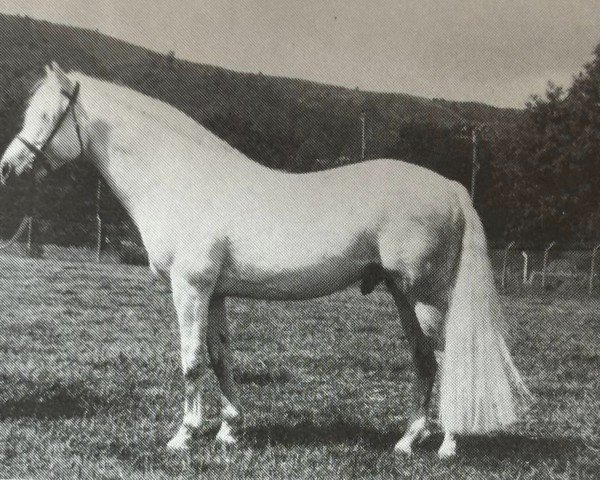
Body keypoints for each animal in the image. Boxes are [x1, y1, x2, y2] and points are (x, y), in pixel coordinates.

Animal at [0, 63, 528, 458]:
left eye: (46, 115)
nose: (8, 167)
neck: (179, 179)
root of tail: (452, 188)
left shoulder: (189, 287)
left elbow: (191, 360)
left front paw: (183, 436)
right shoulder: (214, 293)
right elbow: (220, 357)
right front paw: (228, 430)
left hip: (427, 295)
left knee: (447, 356)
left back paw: (447, 445)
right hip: (402, 294)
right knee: (423, 361)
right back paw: (406, 441)